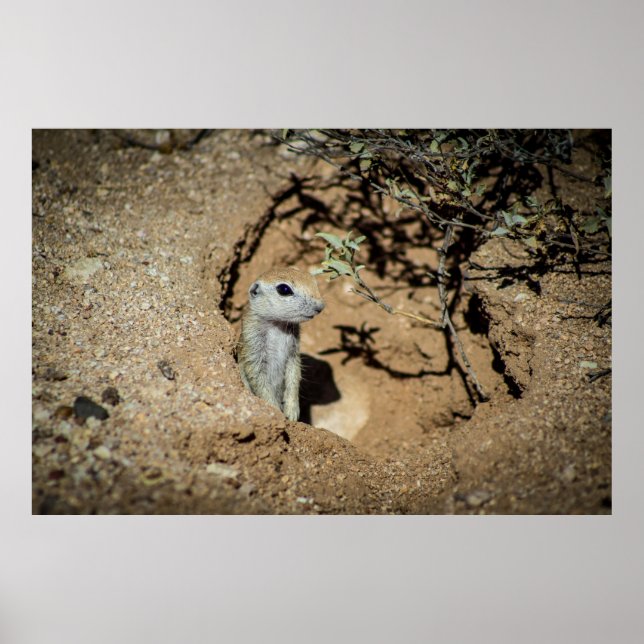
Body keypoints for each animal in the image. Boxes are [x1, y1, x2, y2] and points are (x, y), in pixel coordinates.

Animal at [237, 267, 325, 421]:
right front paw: (275, 409)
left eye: (313, 280)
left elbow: (294, 375)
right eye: (284, 289)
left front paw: (292, 410)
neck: (276, 324)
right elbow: (259, 379)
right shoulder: (253, 343)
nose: (320, 307)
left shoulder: (293, 351)